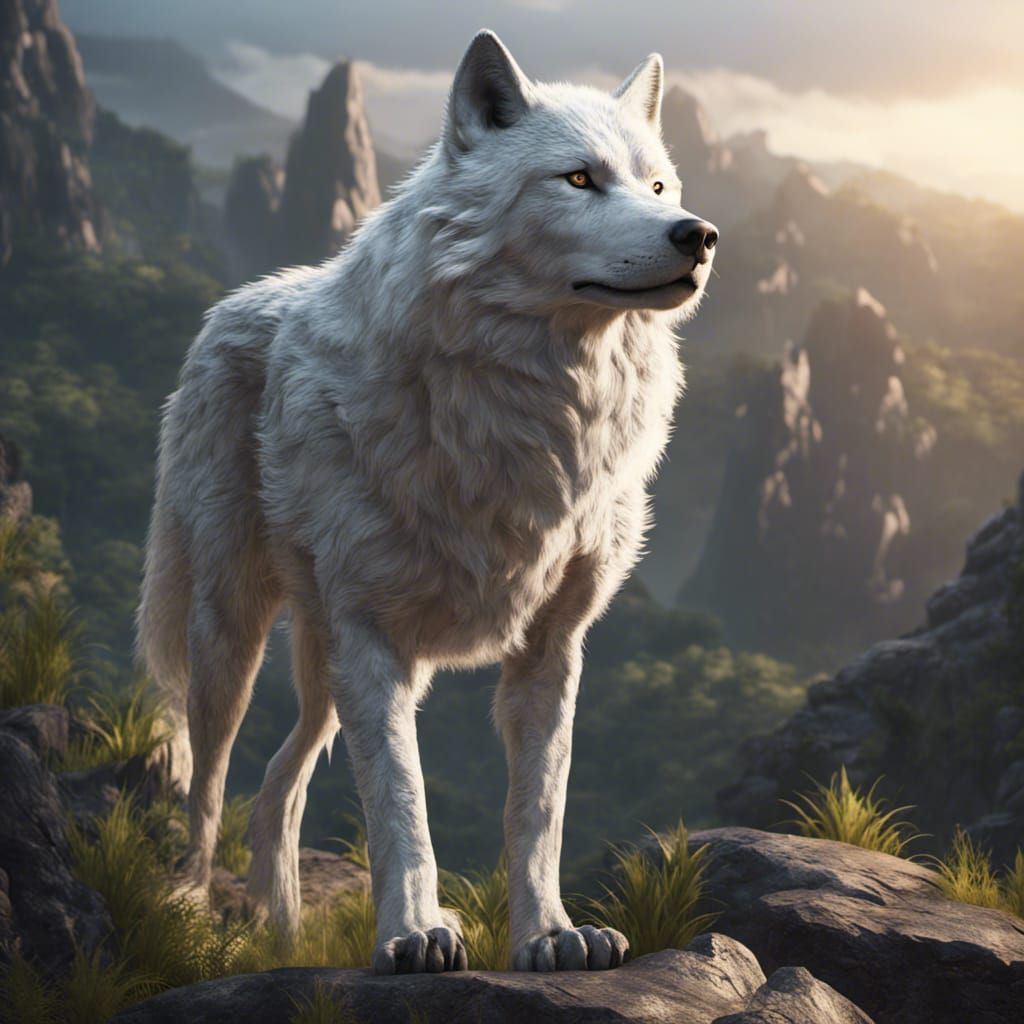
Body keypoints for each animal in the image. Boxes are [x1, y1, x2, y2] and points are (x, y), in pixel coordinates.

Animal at [138, 29, 717, 974]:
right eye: (579, 179)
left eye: (659, 184)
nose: (698, 234)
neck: (527, 417)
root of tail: (237, 300)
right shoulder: (374, 642)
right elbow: (400, 802)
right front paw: (412, 935)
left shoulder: (552, 649)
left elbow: (538, 811)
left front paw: (550, 935)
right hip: (236, 636)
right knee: (211, 782)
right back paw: (189, 914)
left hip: (323, 660)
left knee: (281, 783)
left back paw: (284, 935)